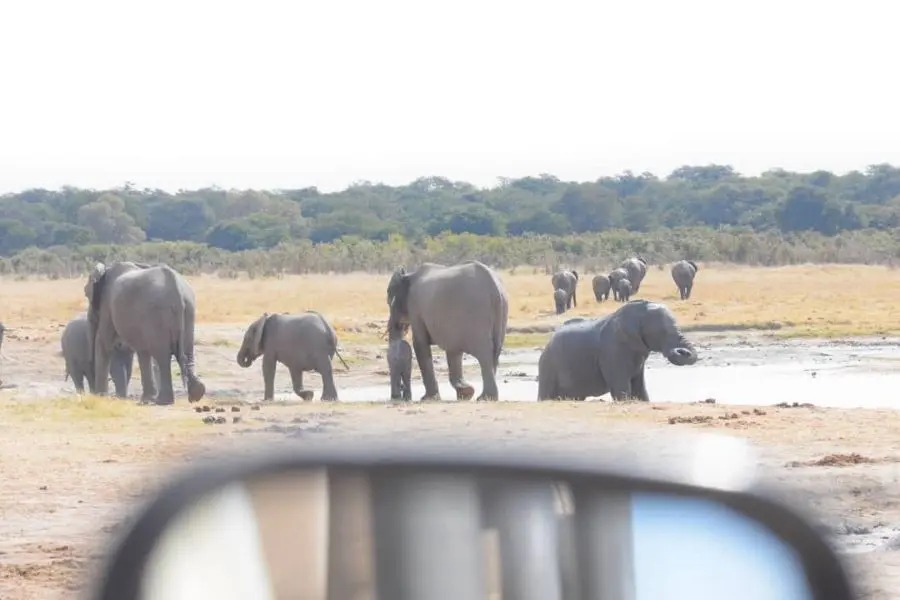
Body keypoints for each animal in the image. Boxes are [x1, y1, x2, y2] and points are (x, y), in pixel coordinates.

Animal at [84, 261, 205, 406]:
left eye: (86, 295)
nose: (92, 393)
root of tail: (177, 290)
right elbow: (143, 351)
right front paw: (147, 399)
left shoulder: (107, 305)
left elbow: (103, 341)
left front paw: (100, 397)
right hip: (189, 309)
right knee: (187, 352)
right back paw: (196, 394)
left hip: (158, 313)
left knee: (162, 355)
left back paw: (163, 401)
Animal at [386, 260, 509, 402]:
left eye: (389, 298)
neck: (408, 275)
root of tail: (496, 289)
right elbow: (453, 349)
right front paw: (465, 393)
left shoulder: (415, 307)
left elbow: (419, 344)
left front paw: (428, 398)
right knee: (495, 353)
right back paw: (485, 396)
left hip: (477, 314)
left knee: (485, 354)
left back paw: (485, 398)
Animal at [537, 299, 699, 402]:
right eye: (662, 332)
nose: (683, 351)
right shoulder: (612, 351)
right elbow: (621, 387)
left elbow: (640, 388)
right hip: (548, 366)